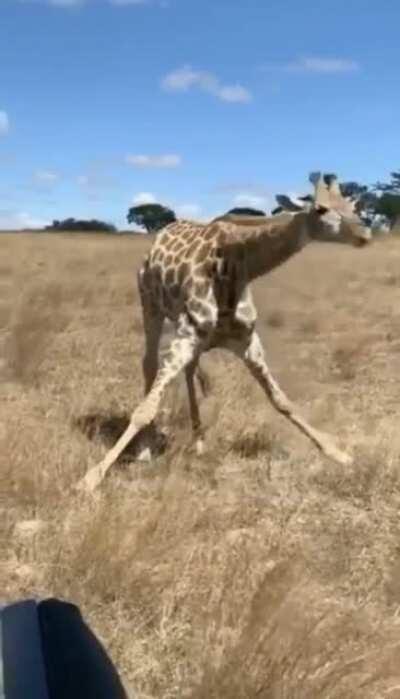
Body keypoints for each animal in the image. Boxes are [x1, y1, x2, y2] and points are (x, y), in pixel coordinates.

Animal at [77, 173, 372, 492]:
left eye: (353, 204)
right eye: (320, 209)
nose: (364, 234)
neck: (238, 266)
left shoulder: (245, 341)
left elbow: (281, 400)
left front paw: (338, 453)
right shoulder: (187, 335)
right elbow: (145, 409)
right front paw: (92, 477)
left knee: (189, 370)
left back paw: (199, 442)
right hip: (150, 307)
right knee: (149, 364)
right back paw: (146, 448)